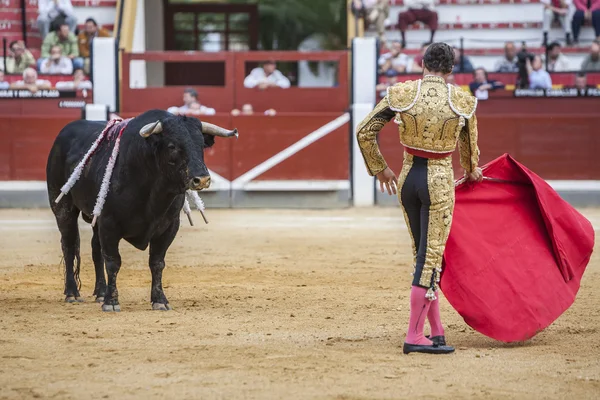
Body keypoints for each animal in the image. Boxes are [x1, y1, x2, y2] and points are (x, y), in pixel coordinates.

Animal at [45, 109, 238, 312]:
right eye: (172, 146)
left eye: (201, 144)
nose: (202, 179)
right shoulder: (109, 223)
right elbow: (113, 261)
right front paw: (111, 302)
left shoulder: (169, 226)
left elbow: (157, 262)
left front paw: (160, 300)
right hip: (63, 207)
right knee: (69, 246)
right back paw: (72, 293)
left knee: (95, 249)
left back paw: (100, 292)